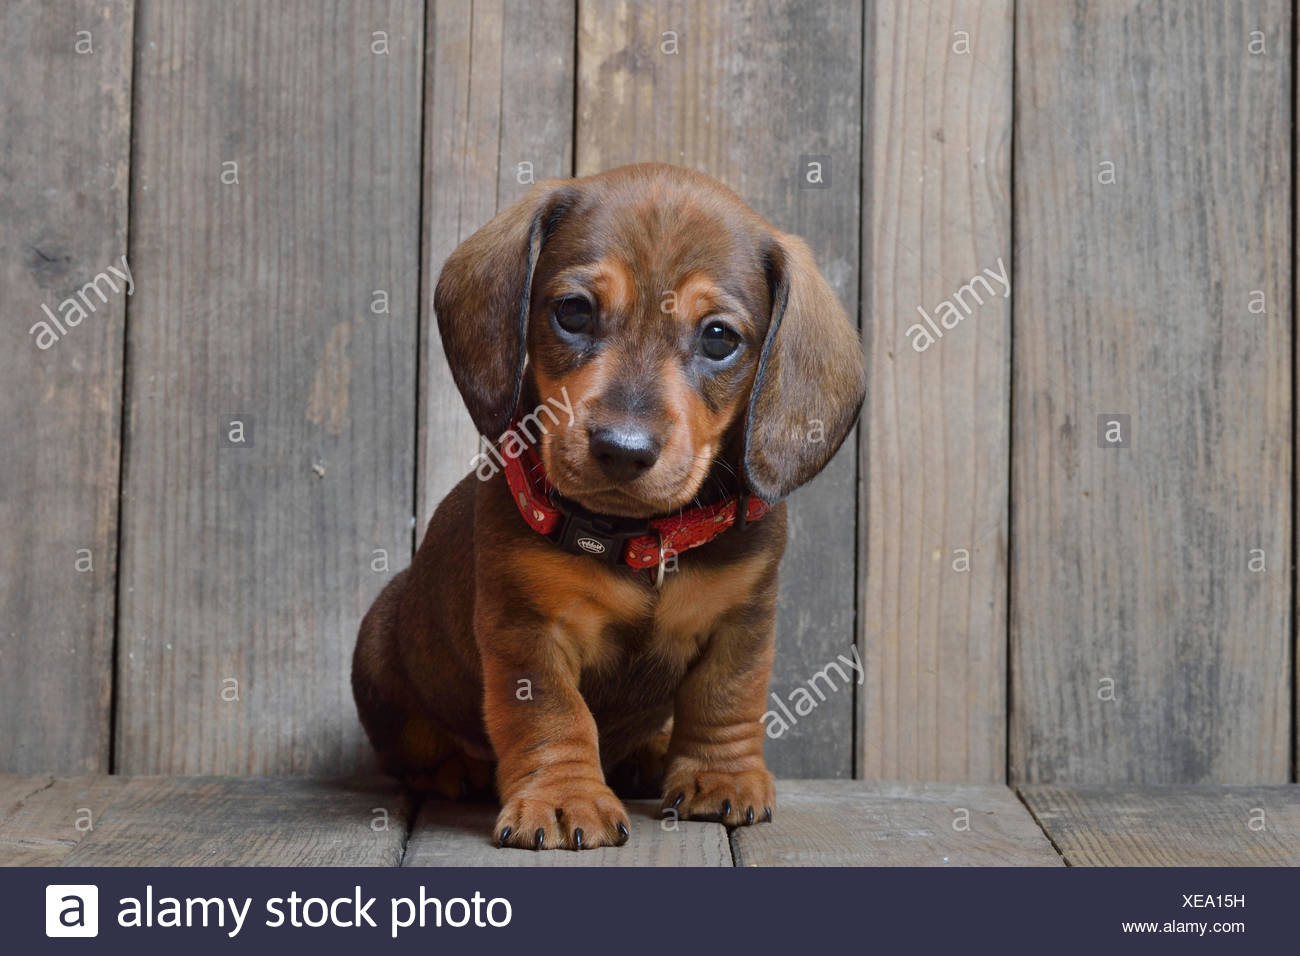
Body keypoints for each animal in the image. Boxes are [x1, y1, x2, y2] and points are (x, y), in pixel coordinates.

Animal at [351, 164, 868, 853]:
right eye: (573, 311)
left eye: (719, 338)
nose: (623, 450)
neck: (640, 537)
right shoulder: (527, 629)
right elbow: (552, 715)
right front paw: (565, 796)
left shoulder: (744, 616)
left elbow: (726, 696)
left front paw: (720, 776)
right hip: (380, 653)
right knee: (411, 747)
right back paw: (453, 767)